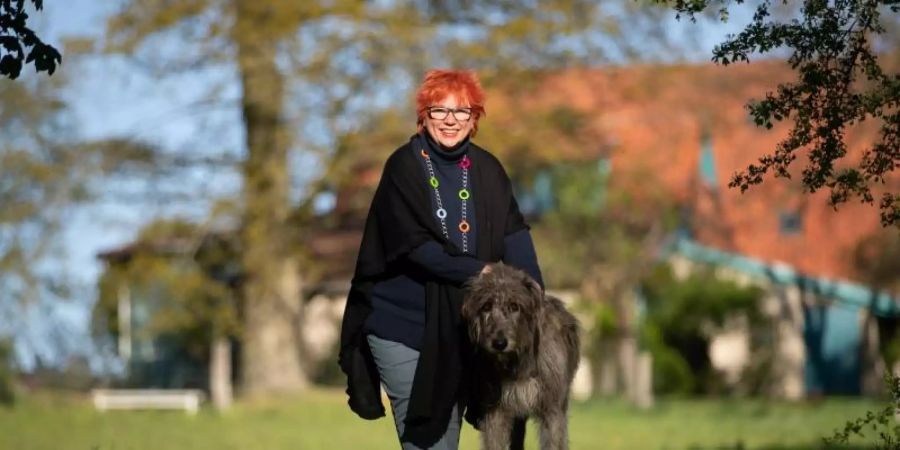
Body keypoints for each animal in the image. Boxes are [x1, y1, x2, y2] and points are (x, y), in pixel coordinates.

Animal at [460, 262, 580, 450]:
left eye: (515, 306)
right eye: (486, 306)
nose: (499, 343)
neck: (518, 362)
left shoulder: (552, 410)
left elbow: (554, 440)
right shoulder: (496, 411)